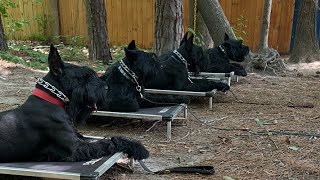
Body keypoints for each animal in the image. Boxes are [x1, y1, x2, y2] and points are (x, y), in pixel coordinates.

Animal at [0, 44, 149, 162]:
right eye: (83, 76)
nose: (106, 88)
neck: (51, 102)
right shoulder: (76, 147)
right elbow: (107, 143)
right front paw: (139, 149)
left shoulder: (80, 137)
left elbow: (112, 138)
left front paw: (135, 146)